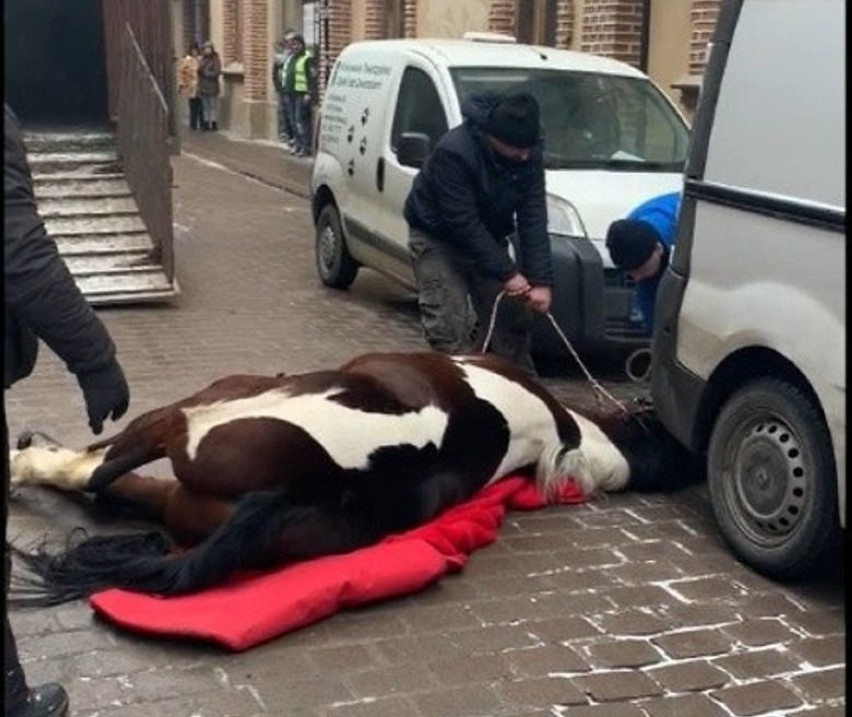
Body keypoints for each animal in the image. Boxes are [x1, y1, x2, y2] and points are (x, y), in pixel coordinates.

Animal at [10, 352, 684, 604]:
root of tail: (294, 485)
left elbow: (98, 460)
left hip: (197, 410)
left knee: (100, 466)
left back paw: (24, 459)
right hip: (187, 496)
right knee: (106, 480)